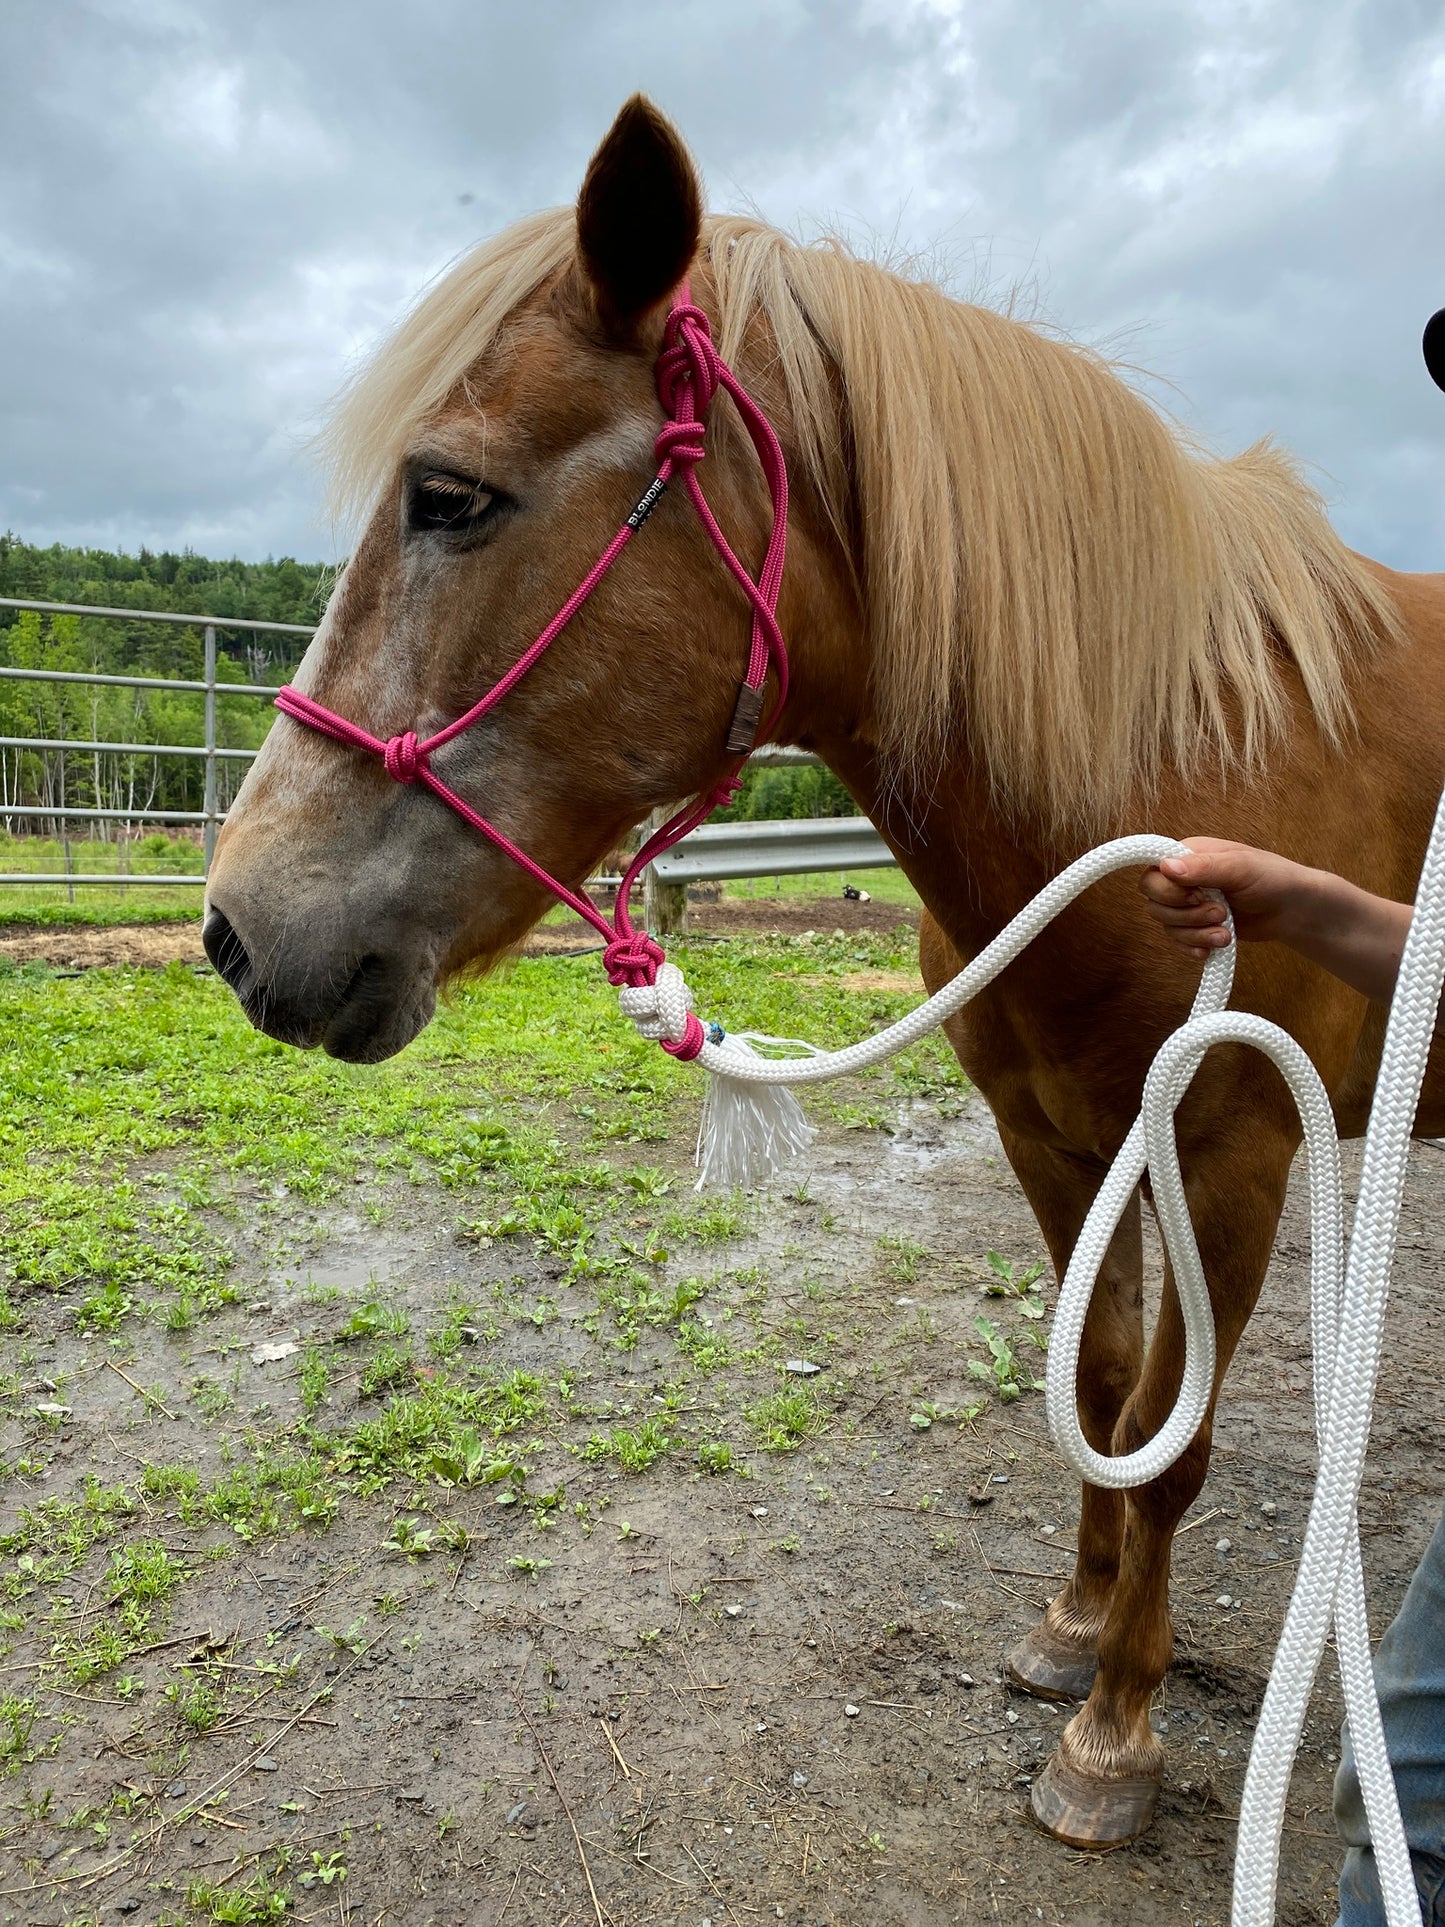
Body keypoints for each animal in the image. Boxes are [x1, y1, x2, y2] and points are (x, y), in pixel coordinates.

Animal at [201, 97, 1445, 1842]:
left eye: (446, 493)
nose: (237, 924)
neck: (1178, 749)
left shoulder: (1235, 1150)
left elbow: (1168, 1435)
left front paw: (1115, 1731)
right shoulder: (1056, 1137)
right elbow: (1100, 1383)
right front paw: (1070, 1631)